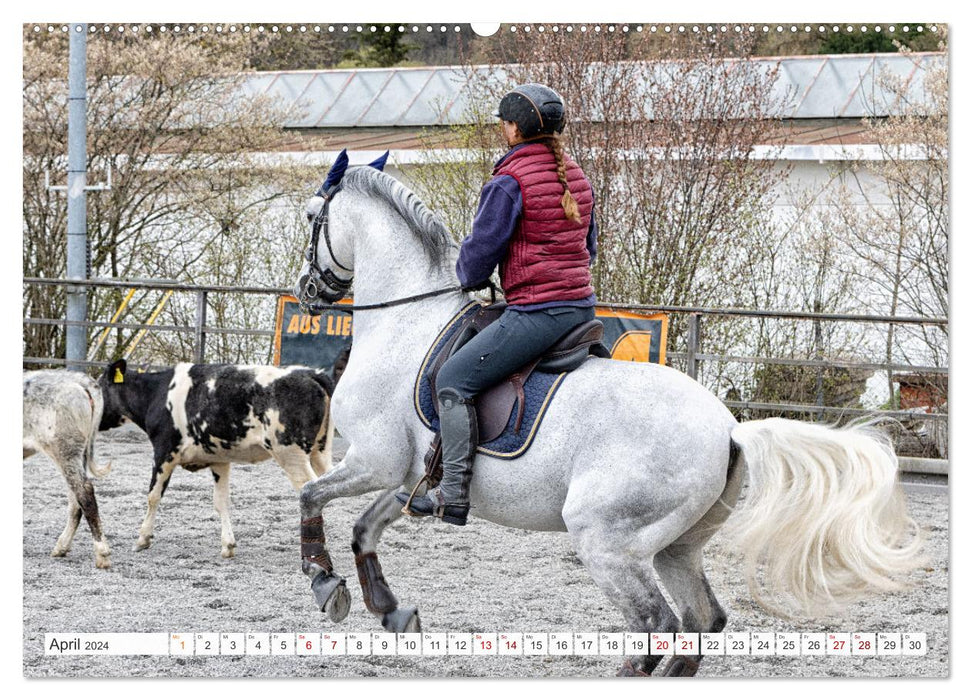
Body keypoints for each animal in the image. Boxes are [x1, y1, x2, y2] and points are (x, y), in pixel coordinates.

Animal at [23, 372, 112, 568]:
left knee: (84, 493)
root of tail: (78, 379)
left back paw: (102, 554)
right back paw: (61, 547)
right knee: (75, 499)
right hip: (76, 454)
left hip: (65, 449)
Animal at [98, 360, 334, 556]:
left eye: (97, 387)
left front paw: (143, 539)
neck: (155, 394)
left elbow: (153, 496)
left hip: (291, 454)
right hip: (320, 452)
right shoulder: (220, 459)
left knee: (311, 491)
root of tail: (310, 374)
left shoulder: (164, 452)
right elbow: (221, 501)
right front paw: (227, 545)